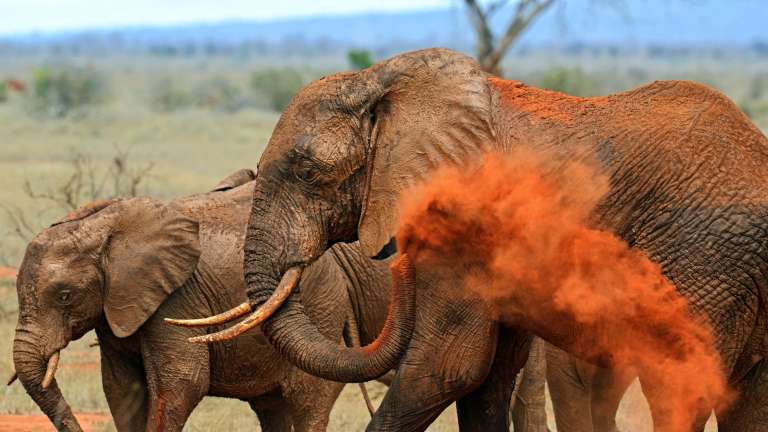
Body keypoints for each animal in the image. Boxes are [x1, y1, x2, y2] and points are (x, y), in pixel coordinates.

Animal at [10, 169, 396, 432]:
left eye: (64, 296)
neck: (103, 227)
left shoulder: (176, 299)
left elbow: (182, 383)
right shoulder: (114, 310)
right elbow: (122, 389)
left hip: (320, 305)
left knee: (307, 400)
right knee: (273, 408)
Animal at [177, 48, 768, 431]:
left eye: (306, 173)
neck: (385, 85)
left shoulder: (458, 221)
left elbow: (447, 368)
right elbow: (485, 378)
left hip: (704, 261)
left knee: (680, 390)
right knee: (748, 404)